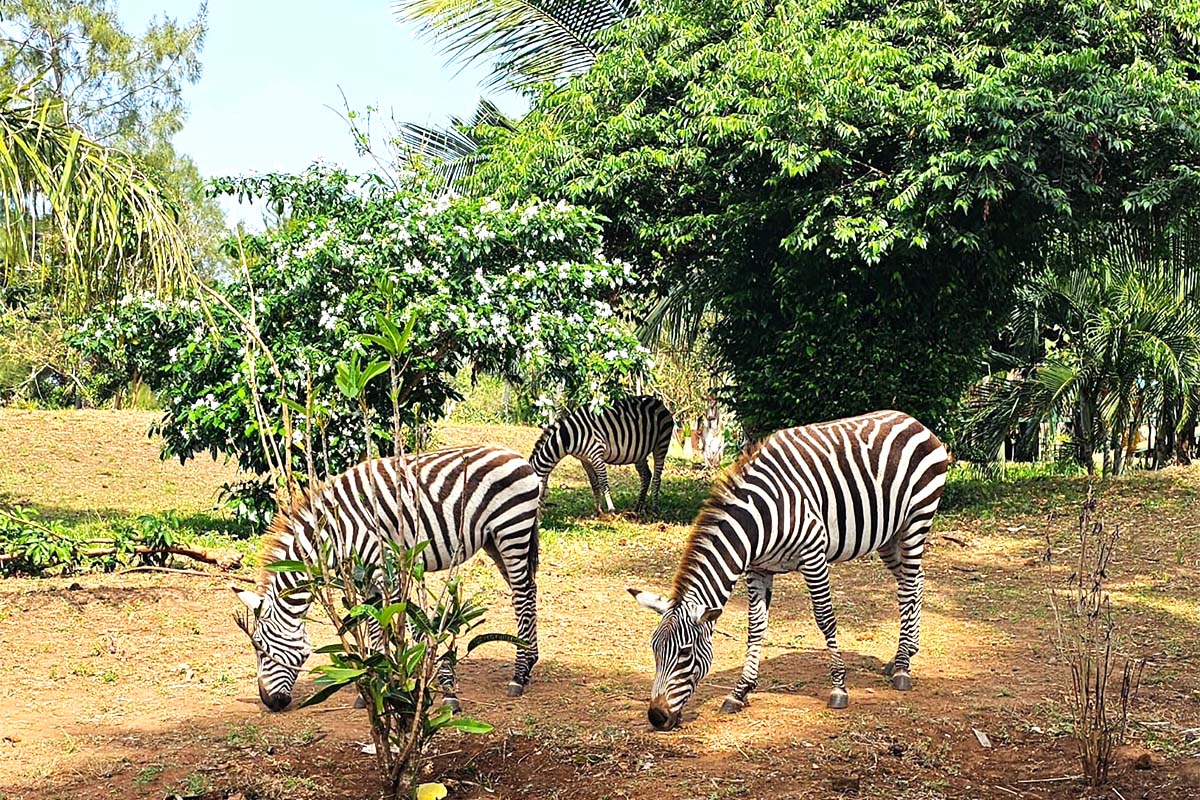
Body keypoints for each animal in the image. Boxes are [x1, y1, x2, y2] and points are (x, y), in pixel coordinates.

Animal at [232, 444, 542, 712]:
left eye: (260, 649)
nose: (270, 703)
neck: (334, 532)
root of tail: (514, 454)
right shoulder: (365, 576)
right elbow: (373, 627)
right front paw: (377, 685)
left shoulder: (385, 570)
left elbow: (402, 627)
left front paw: (425, 686)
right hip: (494, 540)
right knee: (529, 589)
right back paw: (528, 664)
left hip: (511, 530)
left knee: (521, 593)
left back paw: (518, 673)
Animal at [530, 395, 675, 516]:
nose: (539, 521)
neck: (568, 437)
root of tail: (658, 402)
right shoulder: (585, 460)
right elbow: (594, 484)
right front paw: (598, 511)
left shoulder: (596, 454)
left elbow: (603, 482)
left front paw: (611, 510)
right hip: (639, 452)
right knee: (646, 475)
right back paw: (638, 508)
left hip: (661, 444)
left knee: (656, 477)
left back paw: (654, 509)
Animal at [628, 410, 948, 731]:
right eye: (654, 649)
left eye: (685, 653)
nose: (656, 717)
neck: (758, 521)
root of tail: (912, 420)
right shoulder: (758, 569)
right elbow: (755, 628)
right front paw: (739, 692)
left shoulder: (814, 556)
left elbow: (825, 619)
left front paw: (839, 688)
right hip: (888, 536)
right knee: (915, 581)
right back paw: (904, 655)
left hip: (916, 522)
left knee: (909, 588)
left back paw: (903, 667)